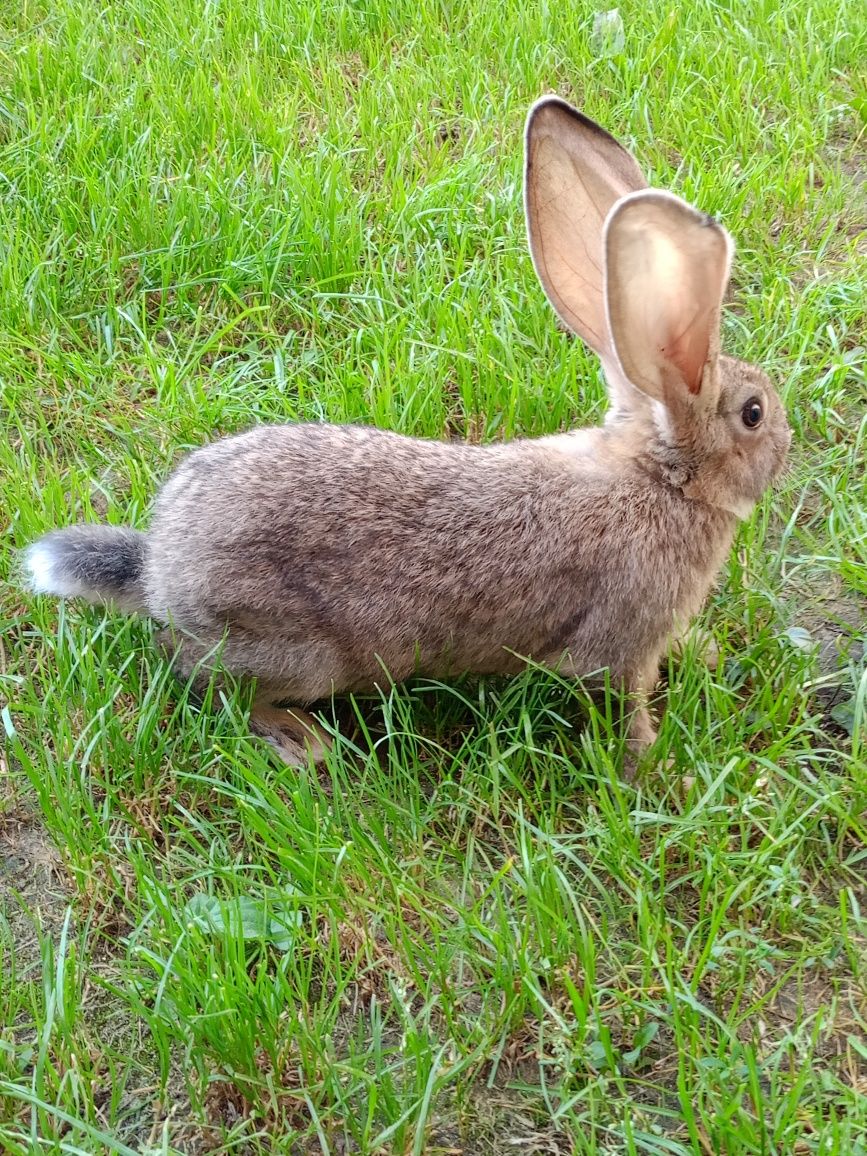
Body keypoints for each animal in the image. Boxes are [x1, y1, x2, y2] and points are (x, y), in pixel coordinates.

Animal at [22, 94, 795, 772]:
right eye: (753, 413)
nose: (787, 440)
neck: (664, 479)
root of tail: (159, 571)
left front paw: (703, 656)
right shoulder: (621, 642)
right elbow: (625, 706)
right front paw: (655, 768)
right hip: (299, 653)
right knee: (197, 677)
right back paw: (302, 742)